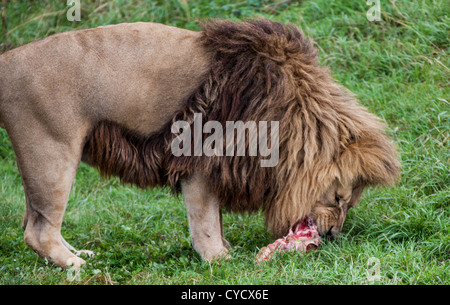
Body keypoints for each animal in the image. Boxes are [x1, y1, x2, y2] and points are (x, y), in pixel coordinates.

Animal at [0, 18, 400, 268]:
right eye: (339, 200)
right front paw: (218, 259)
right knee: (38, 231)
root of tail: (8, 60)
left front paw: (224, 249)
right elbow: (206, 220)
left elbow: (216, 219)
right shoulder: (202, 163)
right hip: (51, 152)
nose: (332, 236)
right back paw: (75, 265)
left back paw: (79, 254)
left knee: (33, 219)